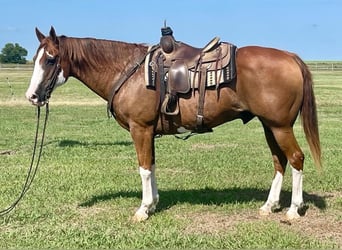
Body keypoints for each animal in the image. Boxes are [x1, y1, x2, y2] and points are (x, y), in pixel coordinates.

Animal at [26, 26, 320, 223]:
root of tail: (291, 57)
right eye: (35, 59)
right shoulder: (148, 132)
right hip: (269, 126)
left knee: (296, 158)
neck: (127, 71)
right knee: (279, 161)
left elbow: (144, 169)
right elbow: (152, 166)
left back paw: (294, 209)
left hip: (280, 126)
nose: (32, 96)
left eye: (50, 59)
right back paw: (269, 205)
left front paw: (143, 210)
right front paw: (153, 204)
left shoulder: (140, 129)